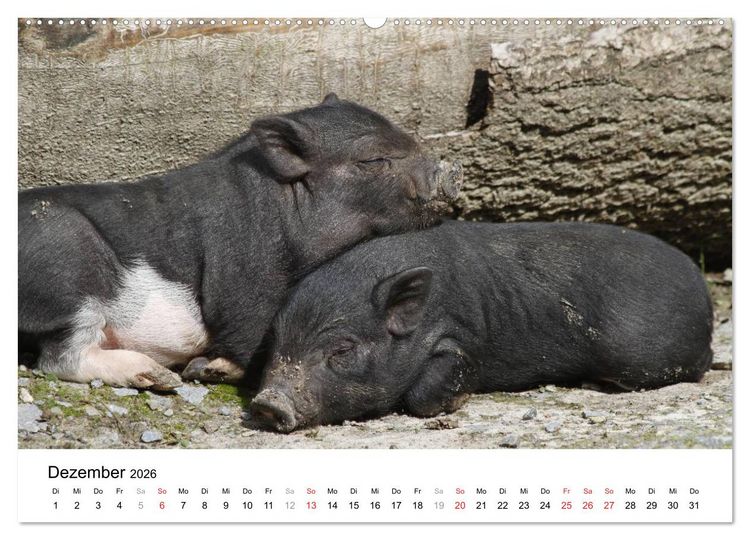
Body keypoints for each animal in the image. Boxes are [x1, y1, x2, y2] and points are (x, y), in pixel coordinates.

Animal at [18, 94, 462, 389]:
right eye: (372, 160)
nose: (451, 169)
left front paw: (203, 369)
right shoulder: (244, 276)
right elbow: (249, 329)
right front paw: (209, 370)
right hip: (65, 259)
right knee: (60, 358)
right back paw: (159, 376)